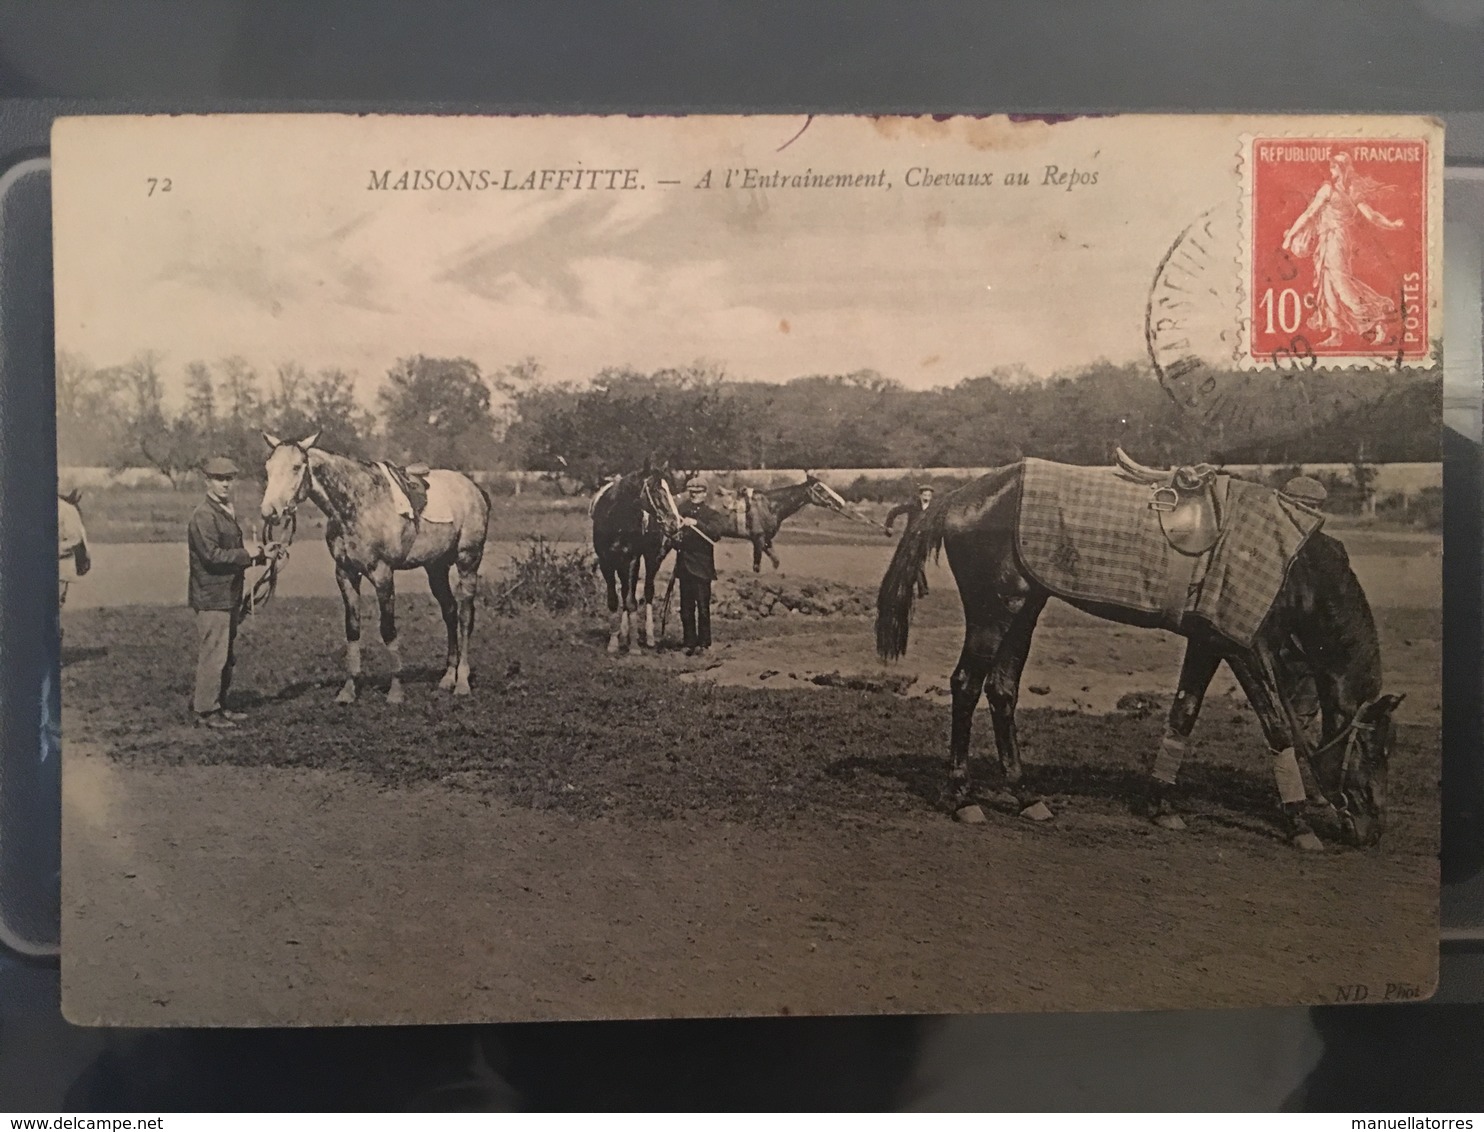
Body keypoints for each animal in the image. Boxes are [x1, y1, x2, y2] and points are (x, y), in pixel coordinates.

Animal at [255, 430, 486, 703]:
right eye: (268, 467)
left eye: (296, 466)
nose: (270, 512)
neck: (358, 504)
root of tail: (474, 488)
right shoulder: (345, 574)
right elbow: (353, 629)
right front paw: (348, 690)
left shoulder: (383, 574)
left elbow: (388, 629)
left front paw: (395, 691)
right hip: (436, 567)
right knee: (449, 611)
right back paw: (448, 677)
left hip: (467, 563)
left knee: (464, 617)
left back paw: (462, 681)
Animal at [590, 459, 682, 655]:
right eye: (655, 490)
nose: (674, 523)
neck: (615, 519)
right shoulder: (606, 562)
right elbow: (614, 600)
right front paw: (614, 642)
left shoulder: (633, 559)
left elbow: (632, 601)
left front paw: (633, 646)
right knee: (625, 591)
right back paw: (623, 633)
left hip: (652, 558)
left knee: (647, 592)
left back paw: (649, 637)